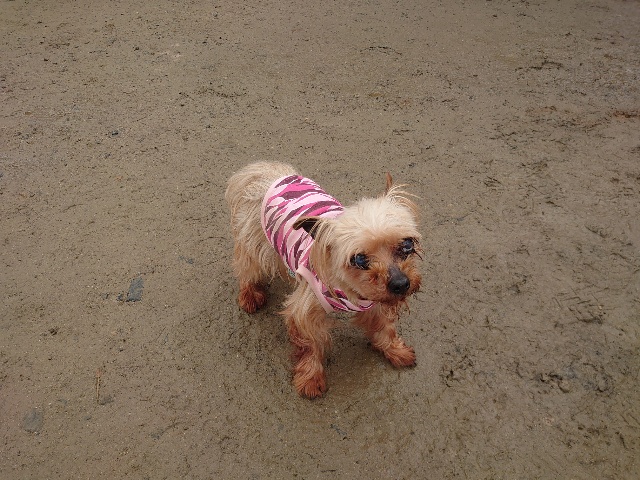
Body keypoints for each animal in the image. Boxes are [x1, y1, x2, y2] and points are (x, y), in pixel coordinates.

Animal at [225, 162, 422, 398]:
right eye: (359, 259)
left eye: (407, 244)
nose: (401, 283)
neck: (350, 291)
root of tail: (260, 169)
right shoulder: (306, 312)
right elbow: (311, 345)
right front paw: (311, 378)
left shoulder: (376, 301)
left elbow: (384, 327)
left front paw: (394, 350)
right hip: (253, 242)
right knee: (247, 268)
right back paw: (250, 294)